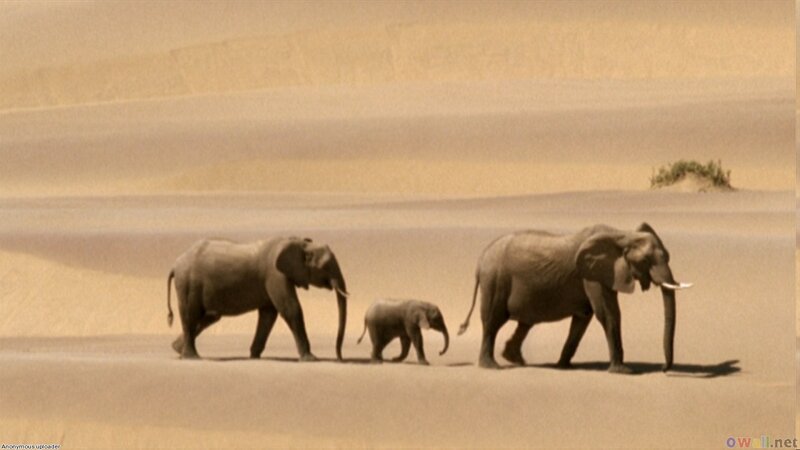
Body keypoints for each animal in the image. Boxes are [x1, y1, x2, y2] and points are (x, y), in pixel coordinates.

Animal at [166, 236, 348, 361]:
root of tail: (175, 264)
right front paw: (311, 359)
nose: (340, 358)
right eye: (325, 266)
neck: (299, 243)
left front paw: (254, 356)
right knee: (191, 314)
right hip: (187, 283)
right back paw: (191, 357)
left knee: (209, 316)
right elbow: (290, 309)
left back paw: (177, 349)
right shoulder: (275, 275)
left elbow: (269, 315)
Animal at [458, 223, 692, 373]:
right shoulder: (592, 276)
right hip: (495, 280)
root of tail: (480, 260)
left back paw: (515, 359)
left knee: (525, 322)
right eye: (645, 260)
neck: (621, 234)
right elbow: (607, 314)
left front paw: (564, 366)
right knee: (493, 321)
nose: (663, 368)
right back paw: (492, 366)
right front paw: (623, 371)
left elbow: (583, 318)